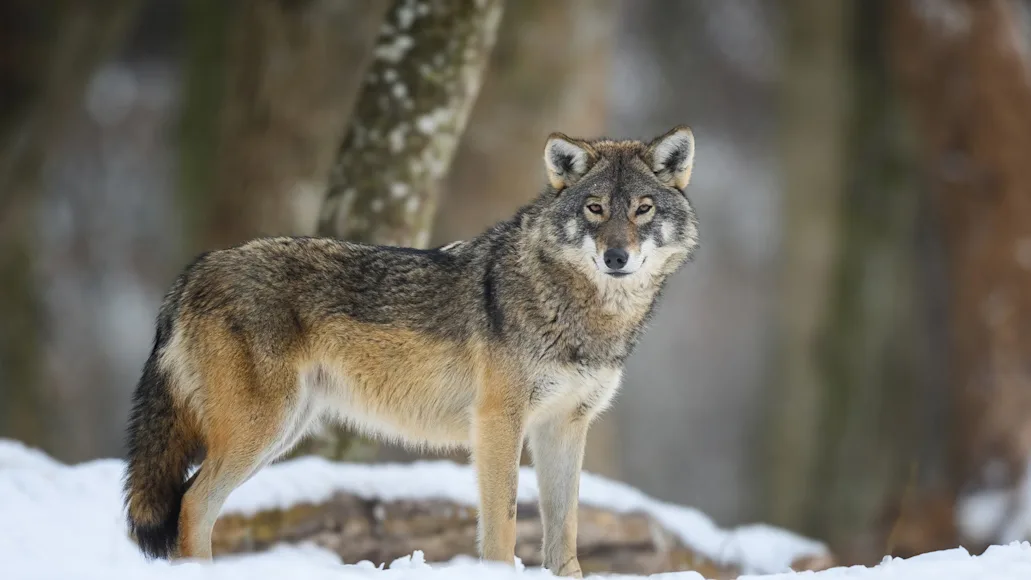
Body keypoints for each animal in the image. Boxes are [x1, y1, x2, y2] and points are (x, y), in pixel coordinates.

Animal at [123, 126, 699, 577]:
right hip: (260, 430)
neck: (582, 314)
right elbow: (503, 527)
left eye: (643, 209)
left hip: (280, 433)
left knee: (194, 505)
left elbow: (566, 534)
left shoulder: (565, 426)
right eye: (595, 209)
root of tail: (196, 268)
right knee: (192, 504)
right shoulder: (499, 422)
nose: (616, 256)